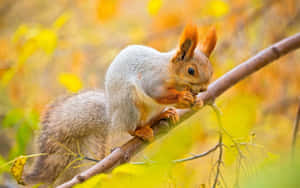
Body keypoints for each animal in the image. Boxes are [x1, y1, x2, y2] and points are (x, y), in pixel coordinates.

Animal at [22, 24, 217, 187]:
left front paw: (198, 101)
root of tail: (113, 118)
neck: (171, 73)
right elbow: (158, 93)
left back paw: (164, 115)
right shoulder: (152, 79)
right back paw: (141, 131)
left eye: (211, 69)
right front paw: (183, 97)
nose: (204, 89)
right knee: (130, 128)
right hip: (130, 104)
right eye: (191, 70)